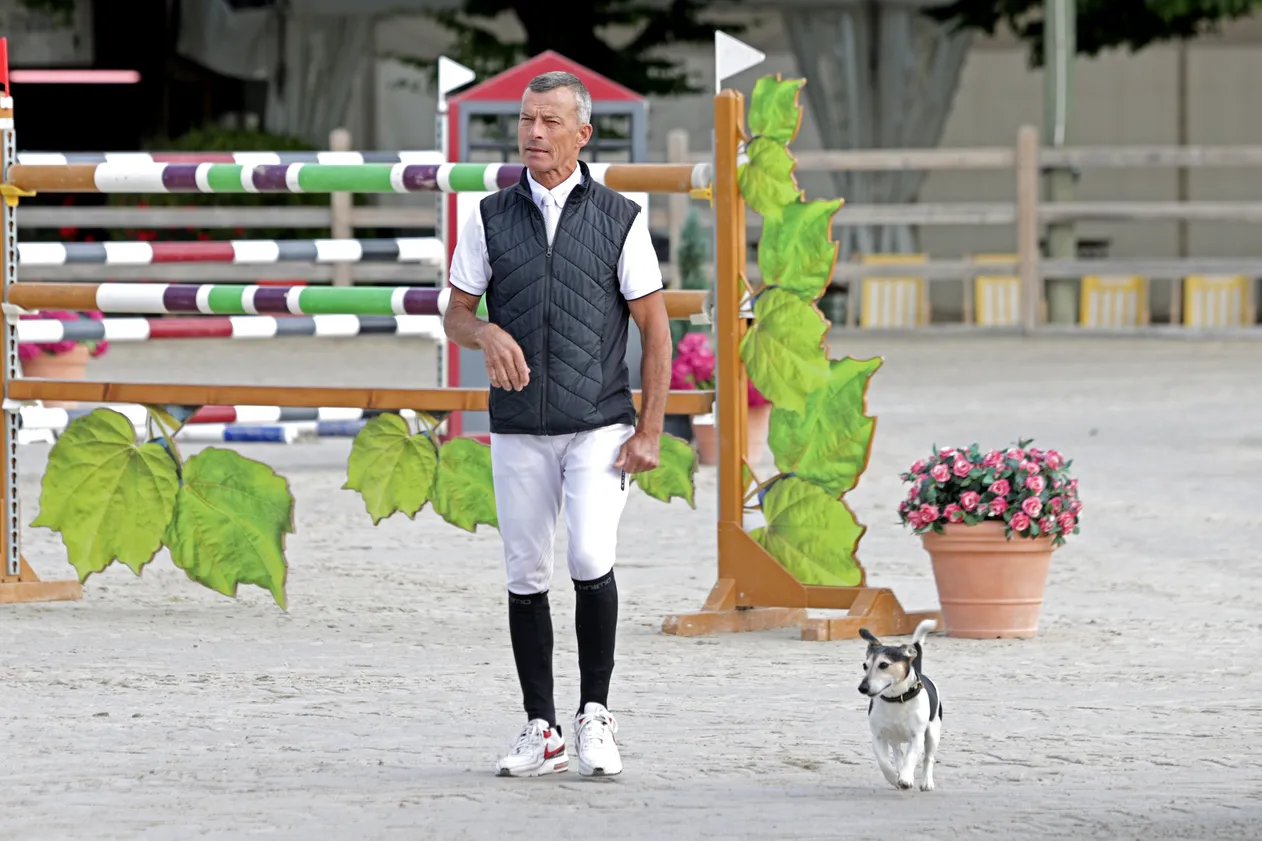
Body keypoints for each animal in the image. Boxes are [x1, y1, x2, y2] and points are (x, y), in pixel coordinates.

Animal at [857, 619, 942, 792]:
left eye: (884, 665)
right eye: (864, 666)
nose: (862, 688)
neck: (896, 699)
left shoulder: (916, 737)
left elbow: (911, 758)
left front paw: (905, 778)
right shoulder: (878, 737)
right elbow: (884, 762)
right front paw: (894, 778)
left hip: (933, 733)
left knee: (928, 758)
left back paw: (926, 782)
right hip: (894, 739)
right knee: (898, 756)